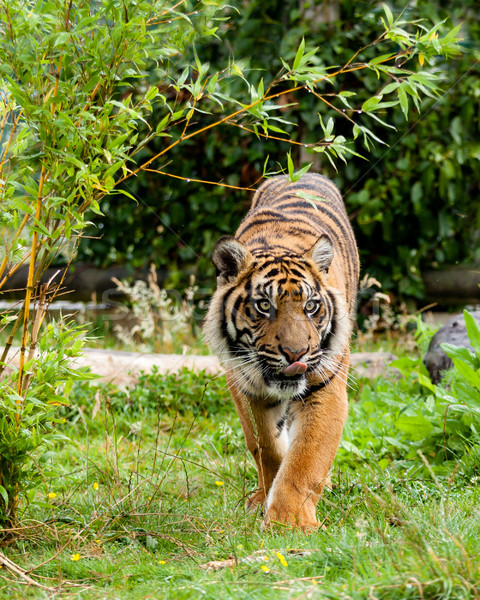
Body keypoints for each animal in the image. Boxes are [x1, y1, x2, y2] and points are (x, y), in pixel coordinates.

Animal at [201, 172, 358, 528]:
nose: (295, 354)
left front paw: (290, 522)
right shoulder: (248, 388)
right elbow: (267, 447)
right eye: (263, 306)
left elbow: (305, 460)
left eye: (311, 307)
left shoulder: (326, 390)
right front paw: (267, 501)